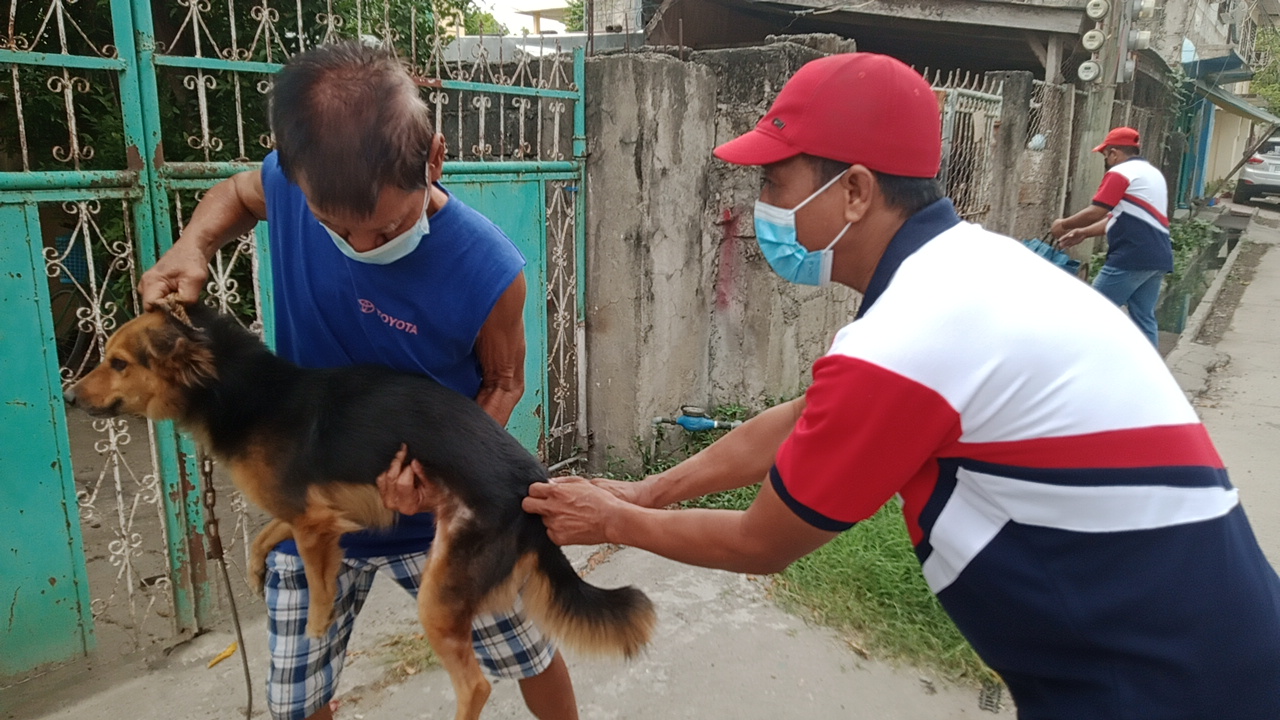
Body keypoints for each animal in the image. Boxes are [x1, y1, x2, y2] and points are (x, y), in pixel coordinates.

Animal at [64, 302, 655, 717]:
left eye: (118, 362)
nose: (68, 396)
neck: (235, 387)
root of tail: (532, 485)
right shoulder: (318, 512)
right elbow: (267, 533)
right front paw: (256, 570)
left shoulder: (313, 523)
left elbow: (317, 584)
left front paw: (316, 626)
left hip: (439, 595)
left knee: (477, 684)